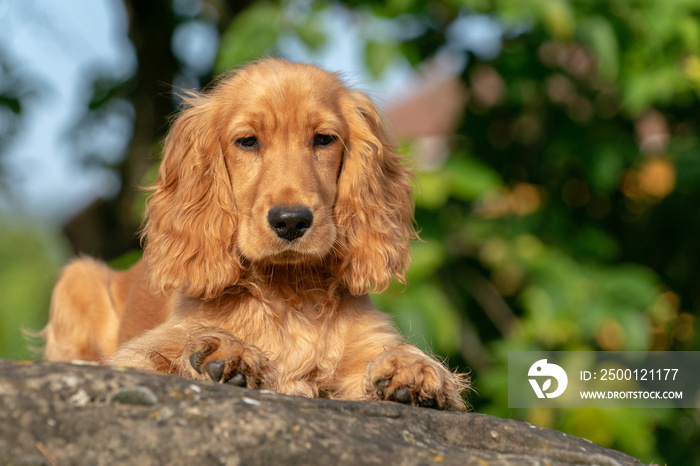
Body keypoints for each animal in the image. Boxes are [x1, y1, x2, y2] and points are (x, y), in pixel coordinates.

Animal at [46, 59, 468, 412]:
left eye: (324, 139)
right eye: (247, 141)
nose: (291, 221)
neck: (289, 292)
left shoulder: (362, 343)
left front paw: (412, 368)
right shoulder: (138, 353)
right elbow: (169, 351)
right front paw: (223, 353)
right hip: (78, 277)